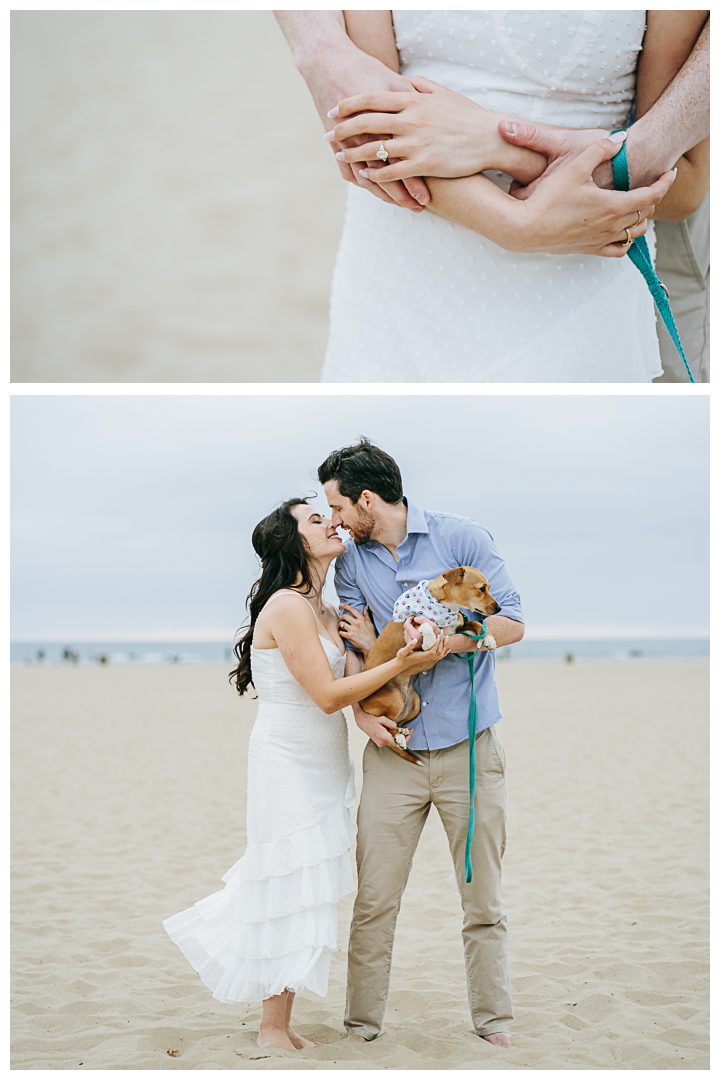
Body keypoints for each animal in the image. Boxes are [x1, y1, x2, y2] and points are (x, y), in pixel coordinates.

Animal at [360, 570, 500, 764]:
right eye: (482, 588)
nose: (499, 609)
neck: (443, 606)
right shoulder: (413, 622)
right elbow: (426, 623)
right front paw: (429, 640)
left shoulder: (460, 626)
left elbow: (476, 623)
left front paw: (488, 637)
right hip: (393, 698)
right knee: (385, 724)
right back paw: (398, 737)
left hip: (415, 703)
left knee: (395, 722)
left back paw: (401, 731)